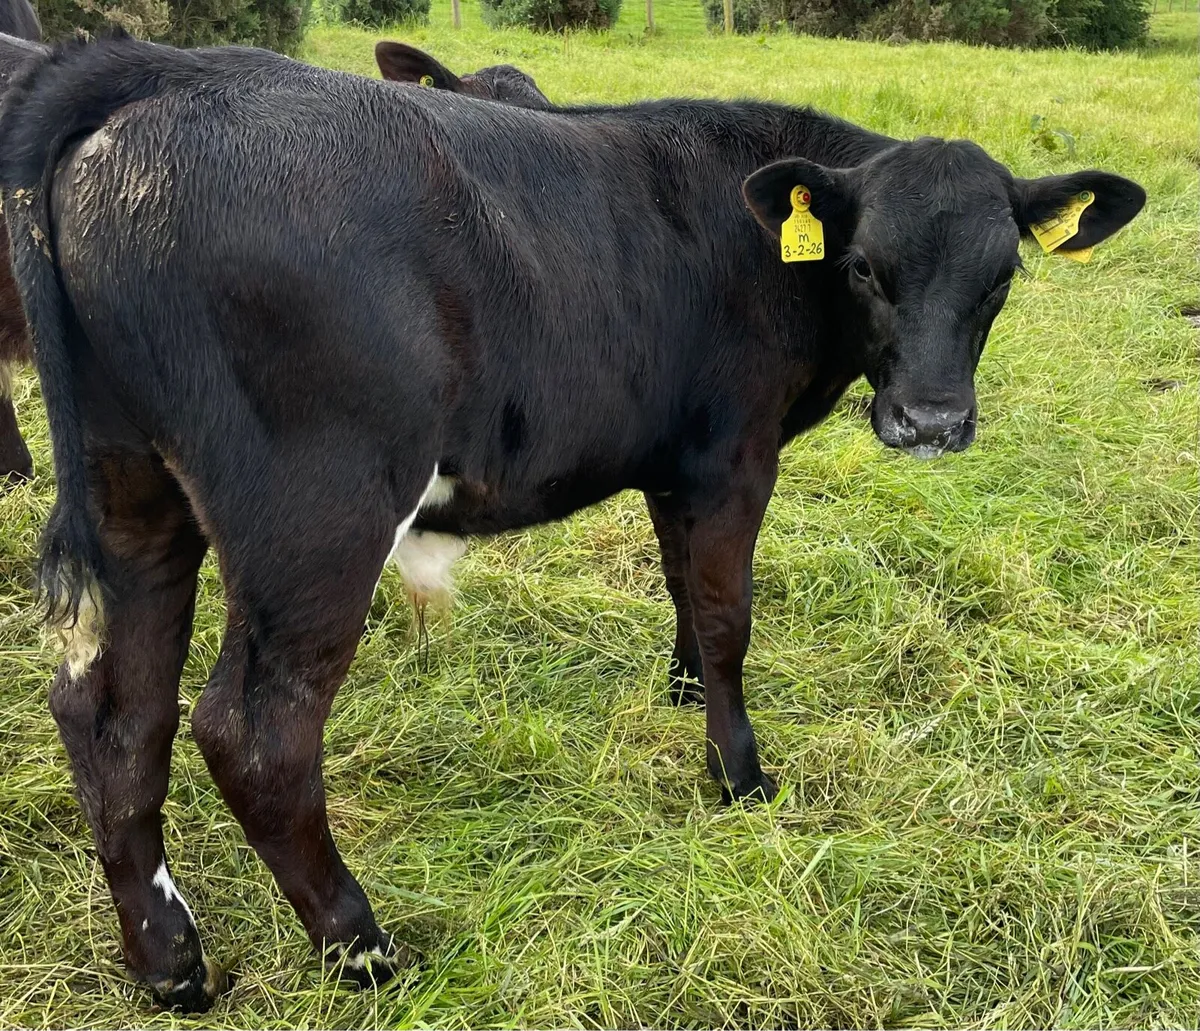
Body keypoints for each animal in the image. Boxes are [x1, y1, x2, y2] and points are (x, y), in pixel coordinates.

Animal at [0, 34, 1144, 1011]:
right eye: (865, 265)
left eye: (1001, 277)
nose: (932, 421)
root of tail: (163, 78)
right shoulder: (732, 458)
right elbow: (729, 612)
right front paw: (740, 774)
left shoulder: (672, 464)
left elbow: (684, 585)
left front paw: (684, 688)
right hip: (315, 516)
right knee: (254, 731)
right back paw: (361, 946)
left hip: (136, 495)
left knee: (112, 714)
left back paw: (172, 963)